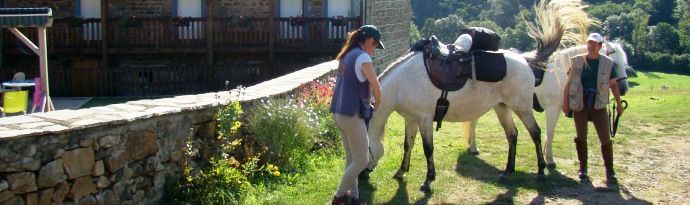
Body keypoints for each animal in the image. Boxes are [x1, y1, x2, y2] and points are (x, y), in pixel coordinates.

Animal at [362, 0, 592, 192]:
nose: (363, 175)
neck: (403, 82)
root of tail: (524, 60)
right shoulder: (411, 119)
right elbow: (408, 144)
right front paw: (401, 171)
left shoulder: (425, 118)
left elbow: (428, 149)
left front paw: (428, 181)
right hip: (502, 108)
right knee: (513, 134)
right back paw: (507, 171)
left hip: (523, 108)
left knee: (535, 132)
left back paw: (541, 171)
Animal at [462, 40, 628, 167]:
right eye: (614, 64)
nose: (624, 89)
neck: (561, 72)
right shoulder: (551, 109)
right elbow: (550, 132)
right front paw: (549, 160)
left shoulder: (556, 109)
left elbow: (550, 132)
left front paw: (545, 155)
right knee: (473, 123)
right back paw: (474, 147)